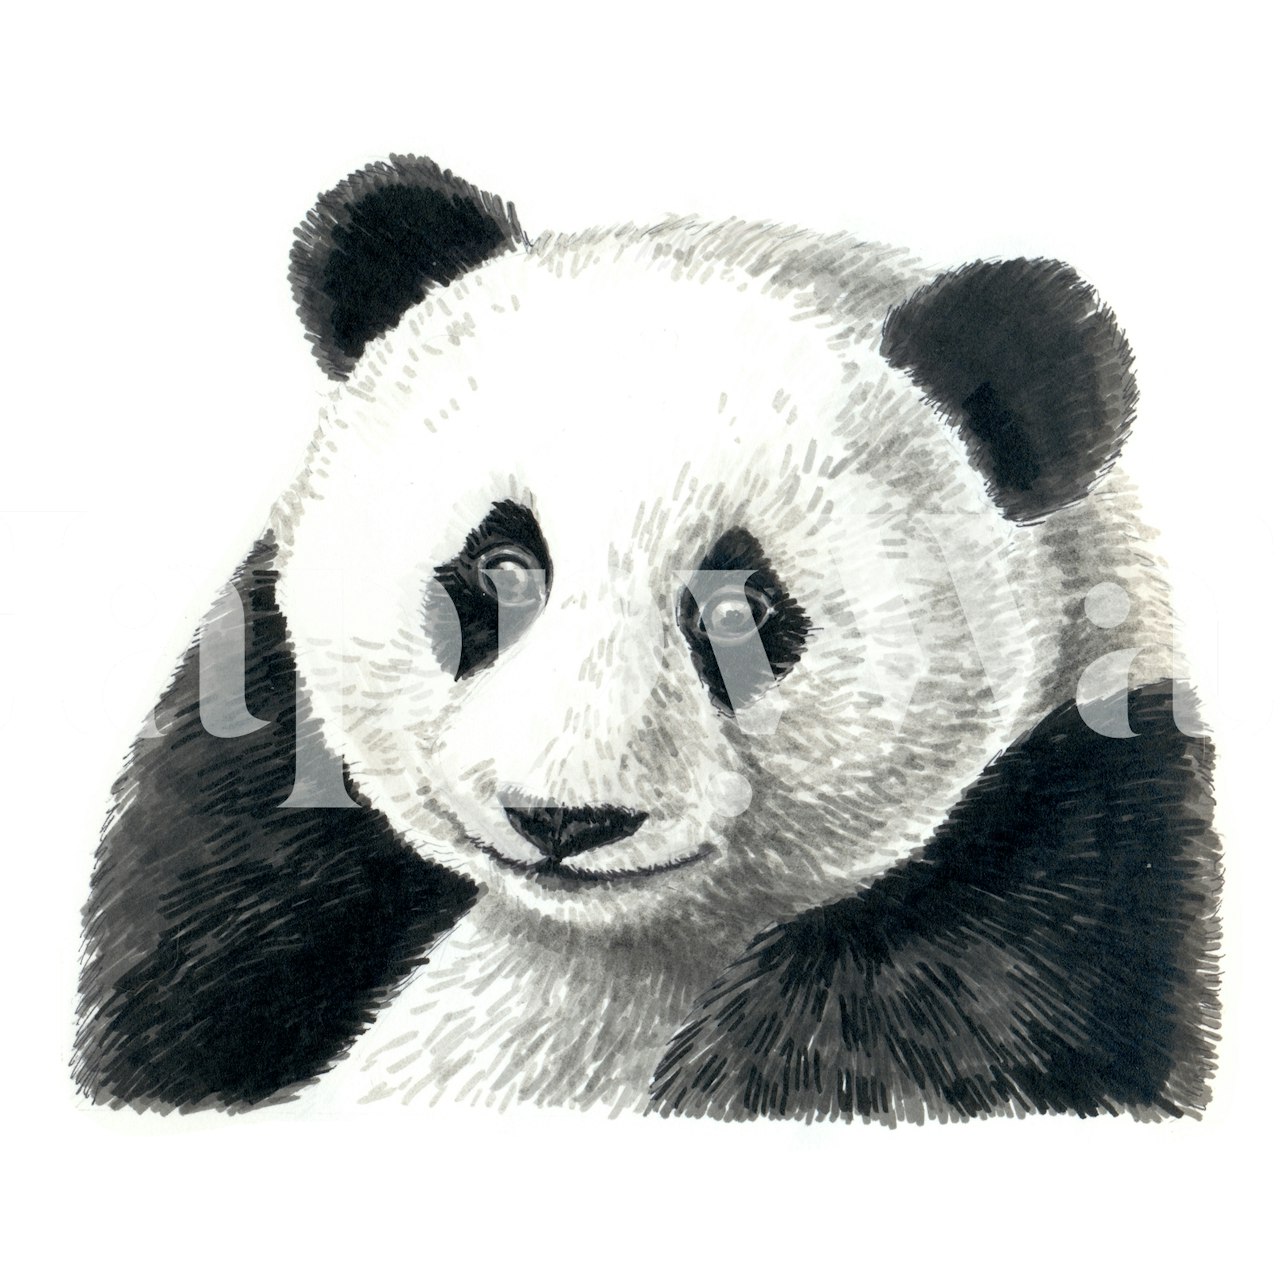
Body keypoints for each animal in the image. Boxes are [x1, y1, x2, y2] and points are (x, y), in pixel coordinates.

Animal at [75, 154, 1220, 1121]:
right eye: (501, 566)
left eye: (741, 610)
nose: (563, 818)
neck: (595, 948)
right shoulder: (245, 805)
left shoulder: (1063, 881)